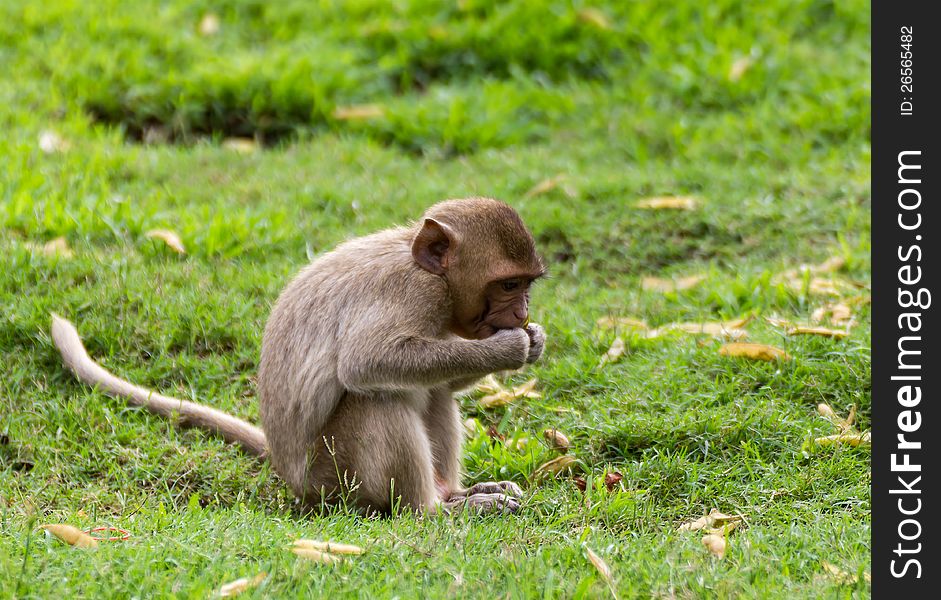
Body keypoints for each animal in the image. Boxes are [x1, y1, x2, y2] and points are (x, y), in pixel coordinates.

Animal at [51, 197, 548, 516]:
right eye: (508, 285)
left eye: (527, 285)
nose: (522, 312)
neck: (432, 274)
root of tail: (292, 478)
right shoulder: (414, 292)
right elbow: (367, 362)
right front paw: (510, 347)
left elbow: (440, 381)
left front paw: (534, 339)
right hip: (336, 480)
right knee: (376, 399)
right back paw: (431, 510)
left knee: (434, 394)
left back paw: (457, 494)